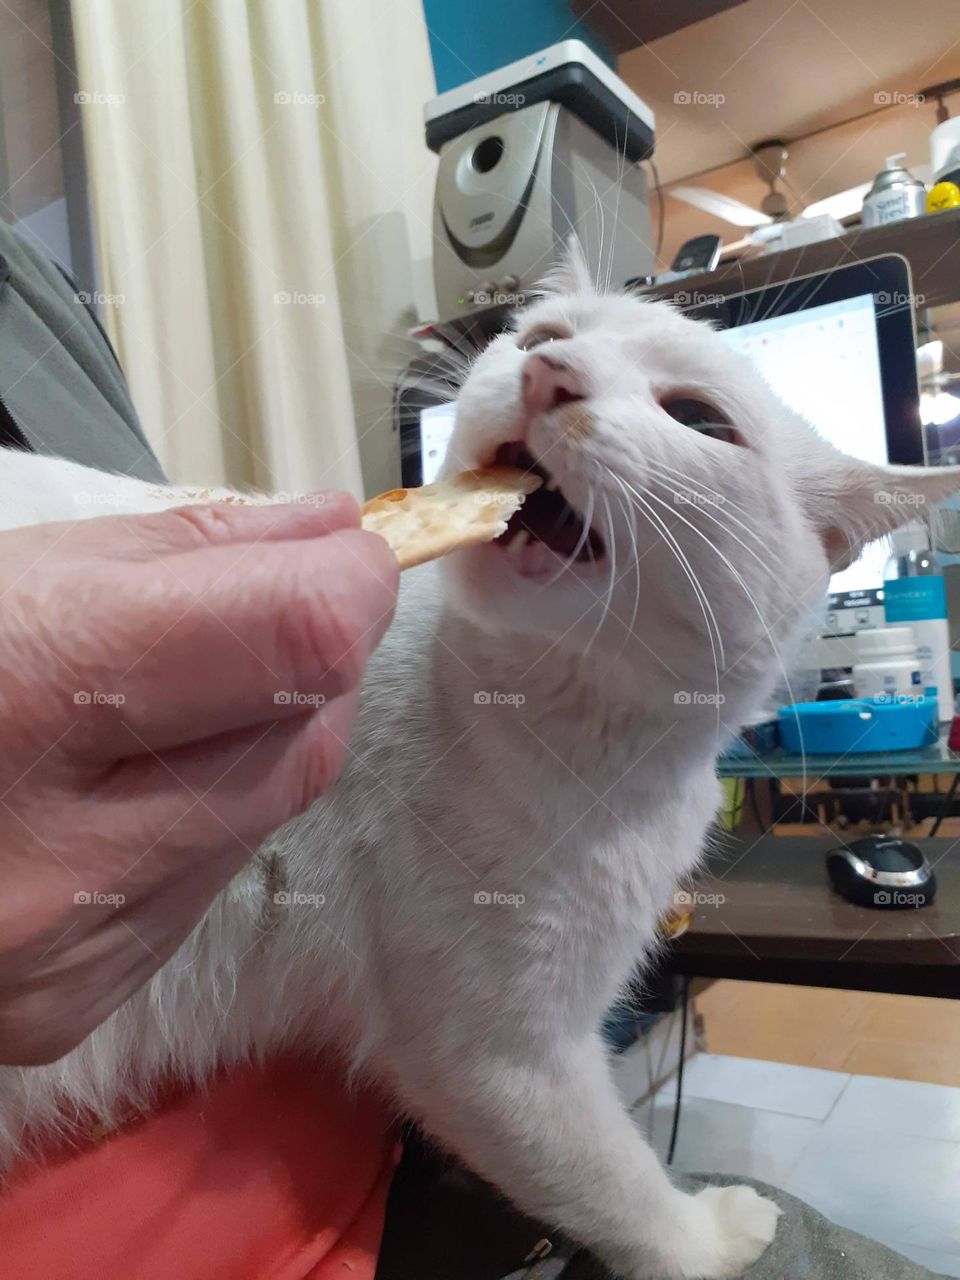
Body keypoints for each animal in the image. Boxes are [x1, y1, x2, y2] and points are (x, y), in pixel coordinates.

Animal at [3, 241, 957, 1280]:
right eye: (541, 339)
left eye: (699, 419)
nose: (548, 374)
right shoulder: (501, 1055)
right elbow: (620, 1182)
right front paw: (708, 1238)